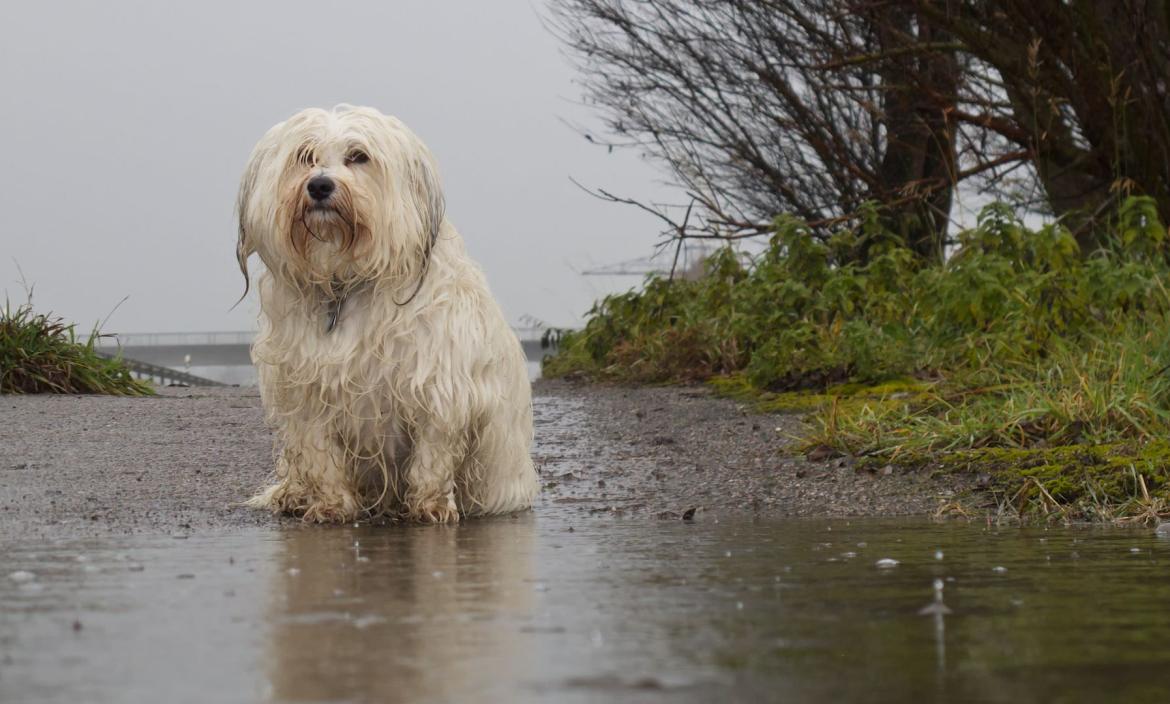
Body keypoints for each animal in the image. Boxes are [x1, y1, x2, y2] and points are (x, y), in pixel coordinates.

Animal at [237, 105, 538, 521]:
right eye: (305, 156)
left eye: (358, 156)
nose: (319, 186)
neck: (344, 282)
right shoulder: (306, 390)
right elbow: (320, 454)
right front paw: (331, 505)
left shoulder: (437, 384)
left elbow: (432, 454)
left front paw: (430, 506)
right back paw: (293, 495)